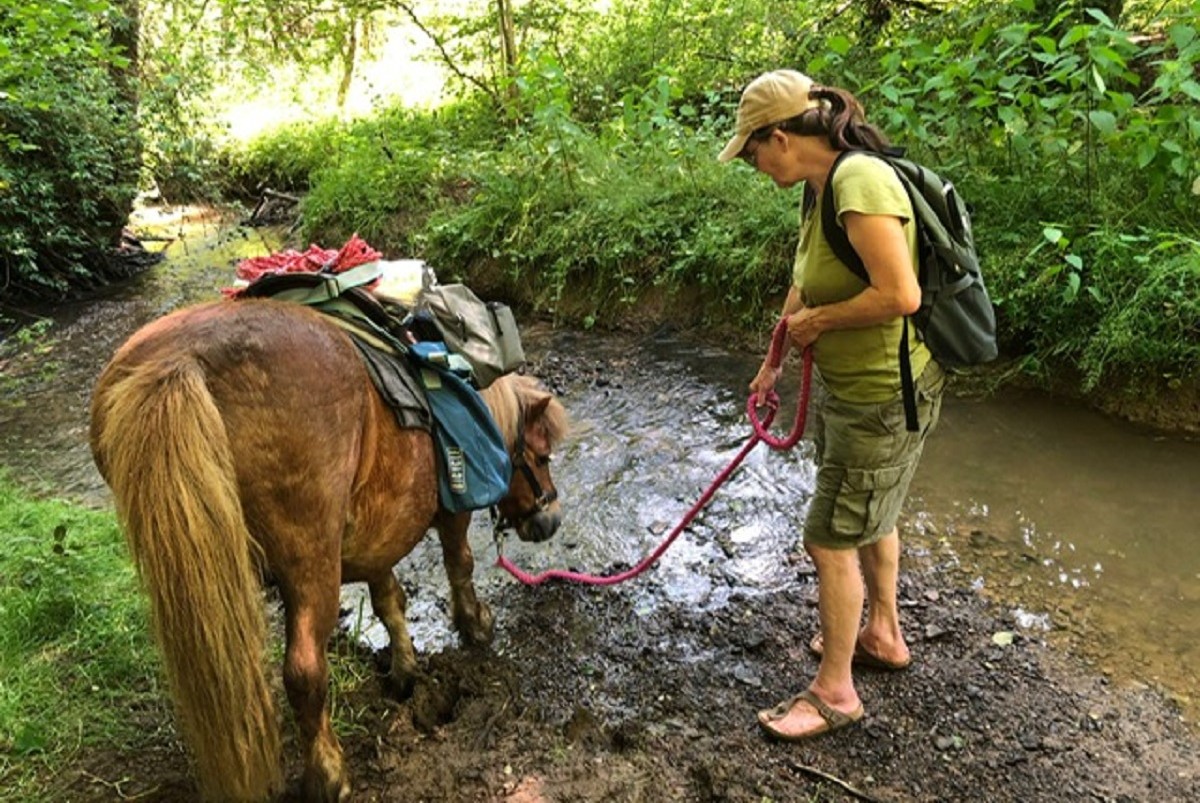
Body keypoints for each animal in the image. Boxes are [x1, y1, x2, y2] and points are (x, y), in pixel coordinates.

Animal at [88, 298, 566, 801]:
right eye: (542, 455)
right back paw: (329, 775)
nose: (549, 519)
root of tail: (179, 362)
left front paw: (404, 671)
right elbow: (460, 565)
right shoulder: (451, 512)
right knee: (303, 672)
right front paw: (475, 626)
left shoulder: (377, 536)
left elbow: (389, 601)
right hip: (310, 562)